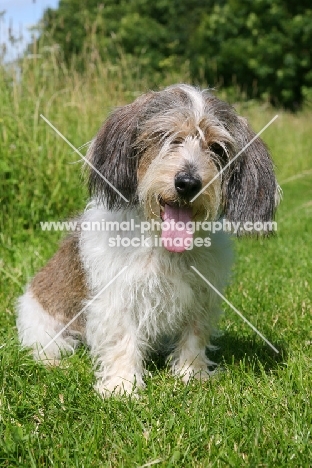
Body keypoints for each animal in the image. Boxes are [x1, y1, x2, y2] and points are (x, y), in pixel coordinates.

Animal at [15, 83, 280, 394]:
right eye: (164, 136)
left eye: (217, 147)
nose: (188, 183)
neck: (163, 247)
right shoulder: (117, 296)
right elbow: (122, 339)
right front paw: (122, 387)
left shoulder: (201, 296)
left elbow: (195, 334)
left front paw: (192, 374)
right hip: (42, 323)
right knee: (46, 347)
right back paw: (54, 361)